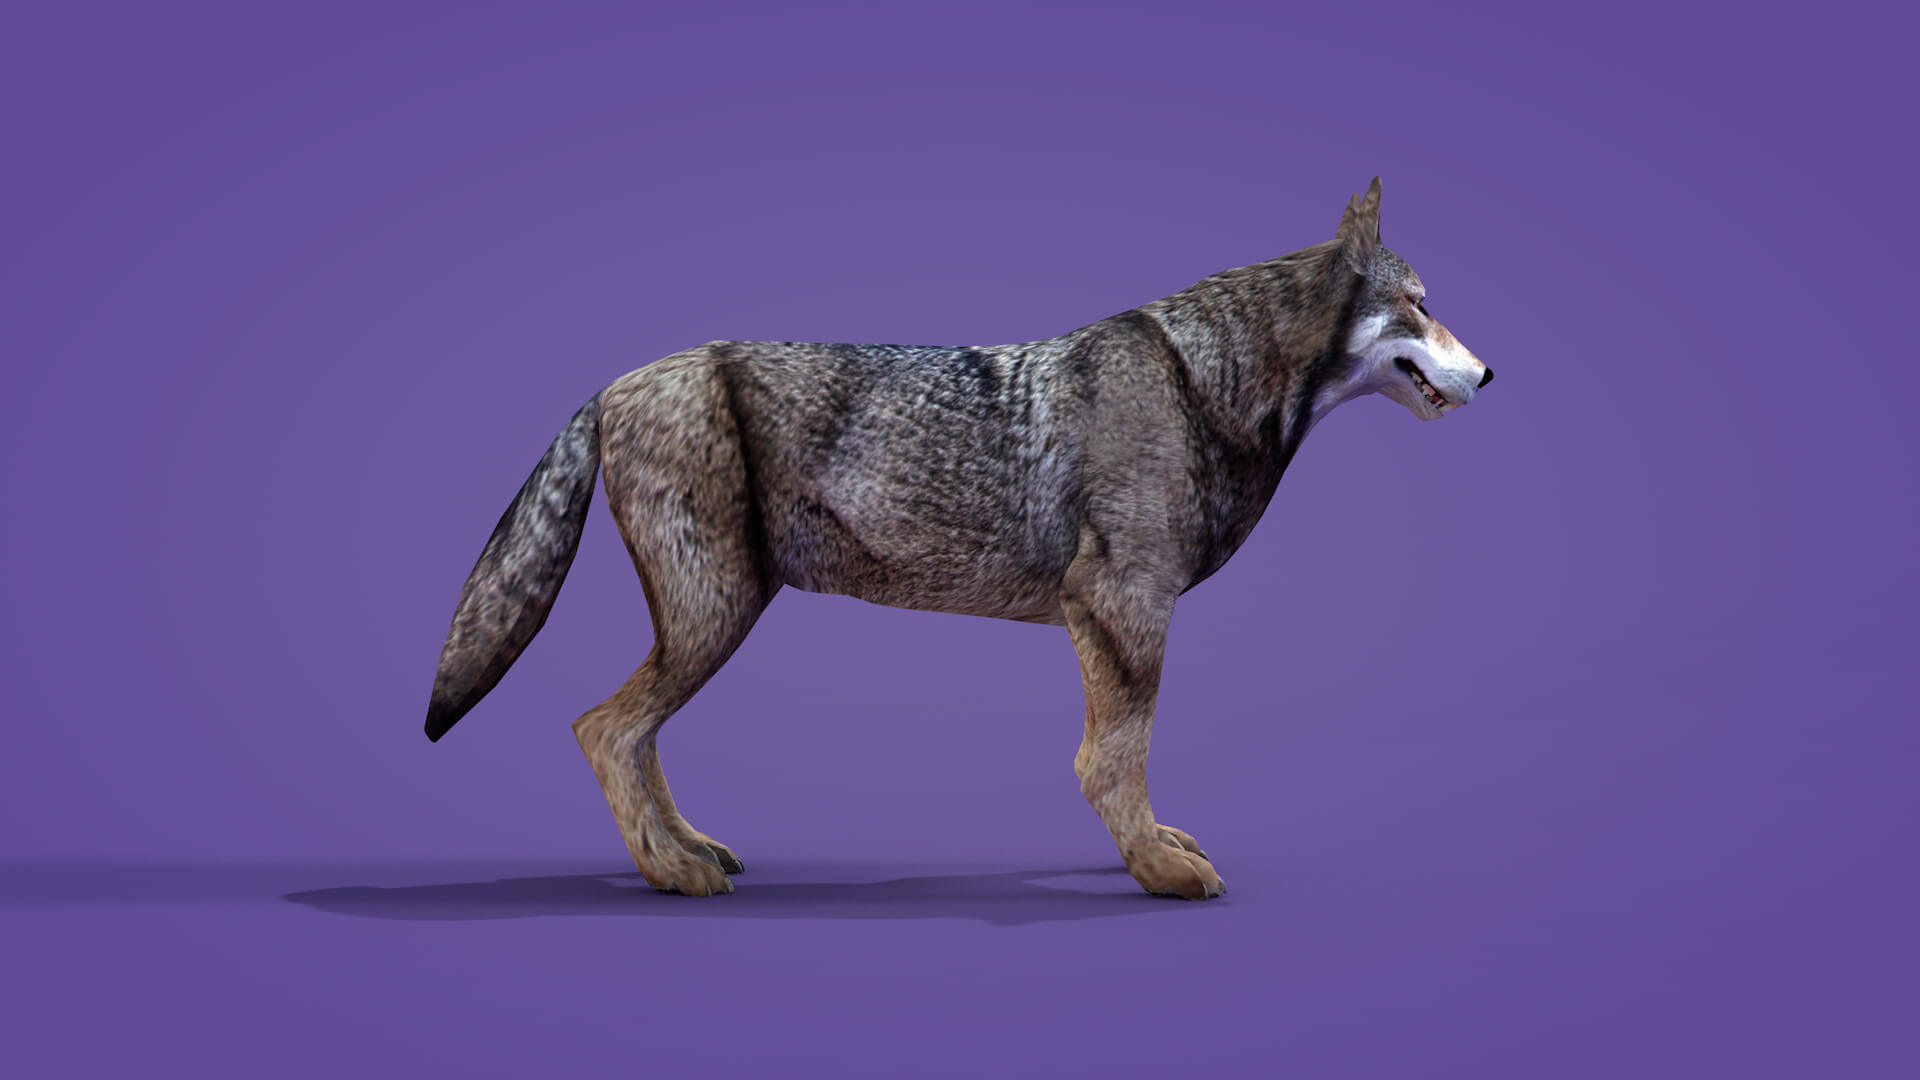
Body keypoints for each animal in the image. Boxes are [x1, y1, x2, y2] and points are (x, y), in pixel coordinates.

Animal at [424, 178, 1492, 900]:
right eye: (1420, 306)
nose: (1490, 373)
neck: (1201, 385)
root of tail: (613, 382)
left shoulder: (1114, 617)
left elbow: (1118, 760)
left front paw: (1155, 851)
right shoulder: (1120, 607)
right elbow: (1113, 760)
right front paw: (1154, 868)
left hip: (714, 617)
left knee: (631, 735)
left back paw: (688, 852)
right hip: (713, 617)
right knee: (604, 728)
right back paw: (671, 873)